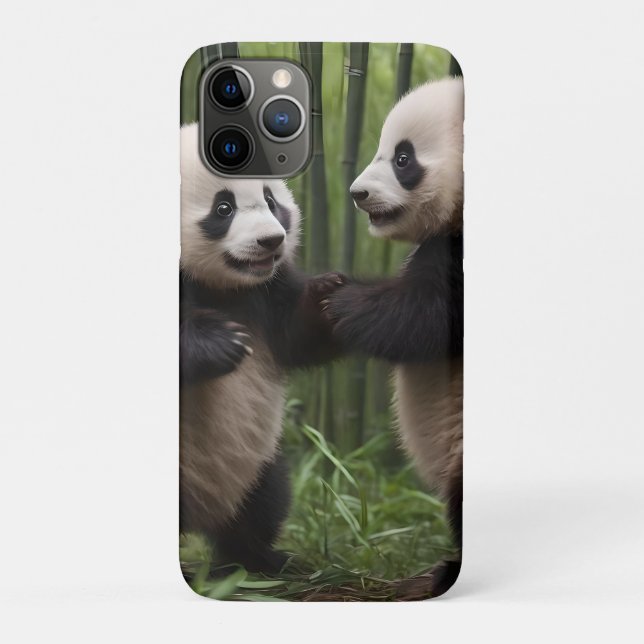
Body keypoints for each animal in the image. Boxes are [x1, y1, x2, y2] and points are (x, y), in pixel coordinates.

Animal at [180, 123, 343, 574]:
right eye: (223, 209)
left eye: (271, 201)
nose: (271, 241)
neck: (222, 288)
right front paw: (223, 343)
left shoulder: (267, 291)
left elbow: (295, 336)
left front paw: (327, 296)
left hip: (257, 461)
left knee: (265, 501)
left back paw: (258, 561)